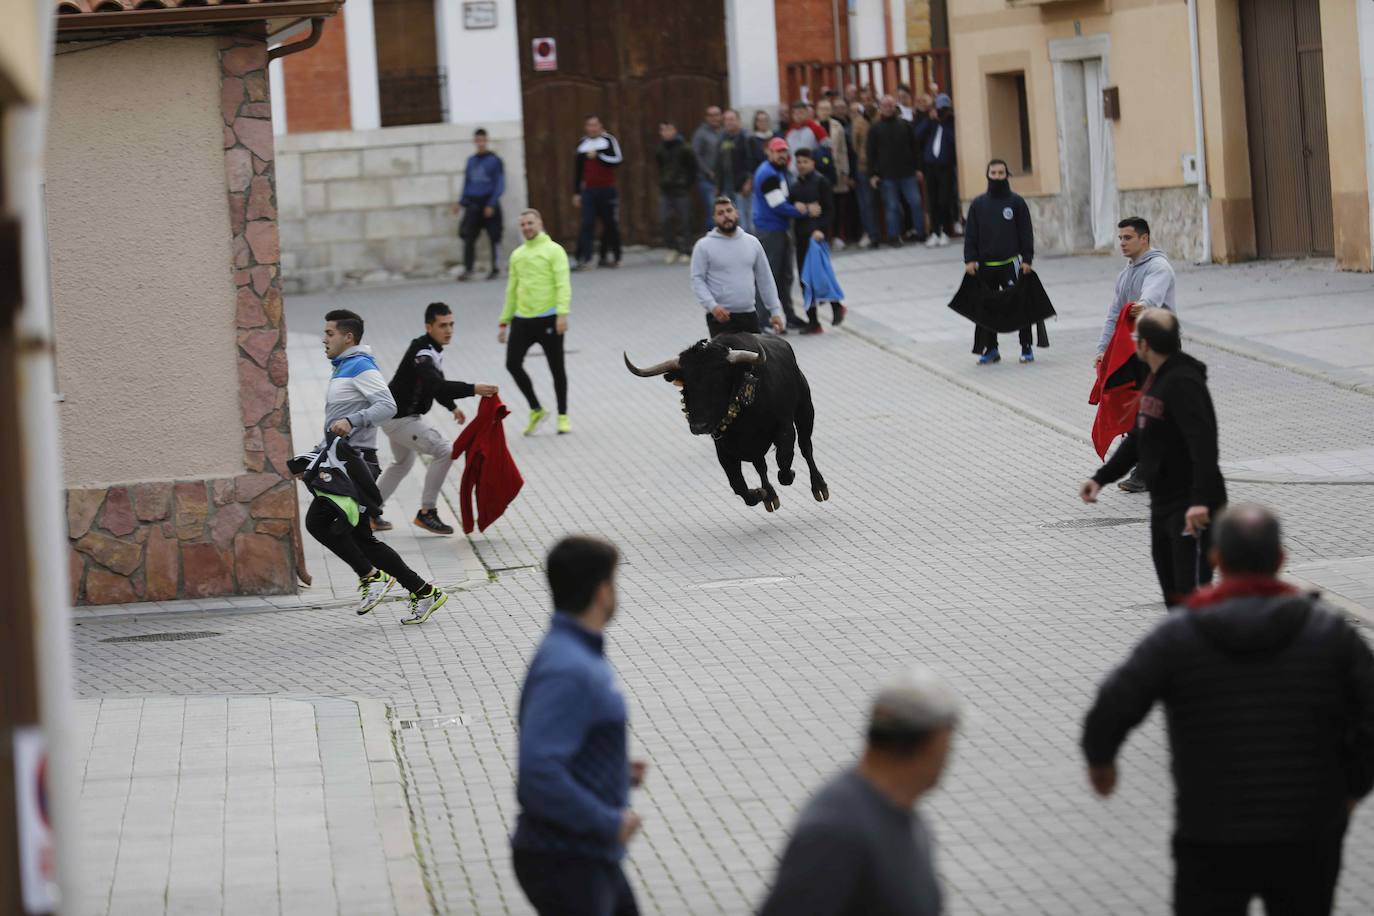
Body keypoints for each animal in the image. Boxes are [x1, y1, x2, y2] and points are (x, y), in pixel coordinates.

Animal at [623, 333, 824, 513]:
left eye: (718, 382)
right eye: (687, 385)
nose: (699, 426)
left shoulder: (784, 426)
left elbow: (784, 459)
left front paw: (789, 475)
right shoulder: (724, 448)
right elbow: (738, 484)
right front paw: (760, 493)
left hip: (805, 411)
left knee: (805, 447)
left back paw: (819, 487)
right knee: (761, 465)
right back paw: (771, 497)